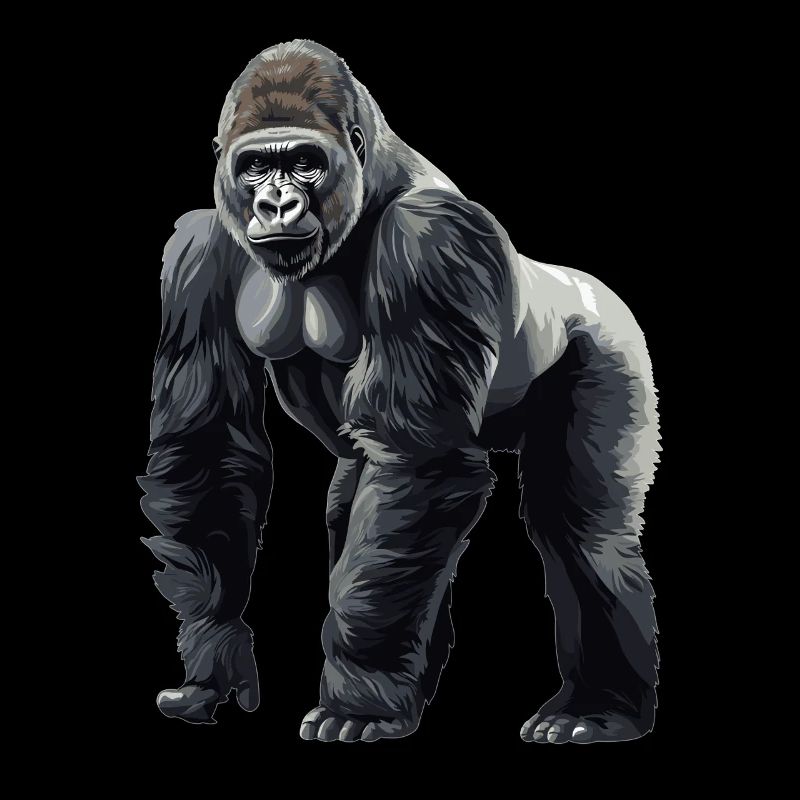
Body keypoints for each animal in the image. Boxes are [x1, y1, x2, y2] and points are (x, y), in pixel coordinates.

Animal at [139, 39, 660, 743]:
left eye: (303, 164)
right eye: (255, 167)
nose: (275, 205)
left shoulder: (430, 236)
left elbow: (421, 459)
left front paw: (358, 700)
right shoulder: (199, 249)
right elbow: (209, 444)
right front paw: (214, 654)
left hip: (612, 343)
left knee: (582, 530)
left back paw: (597, 708)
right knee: (360, 500)